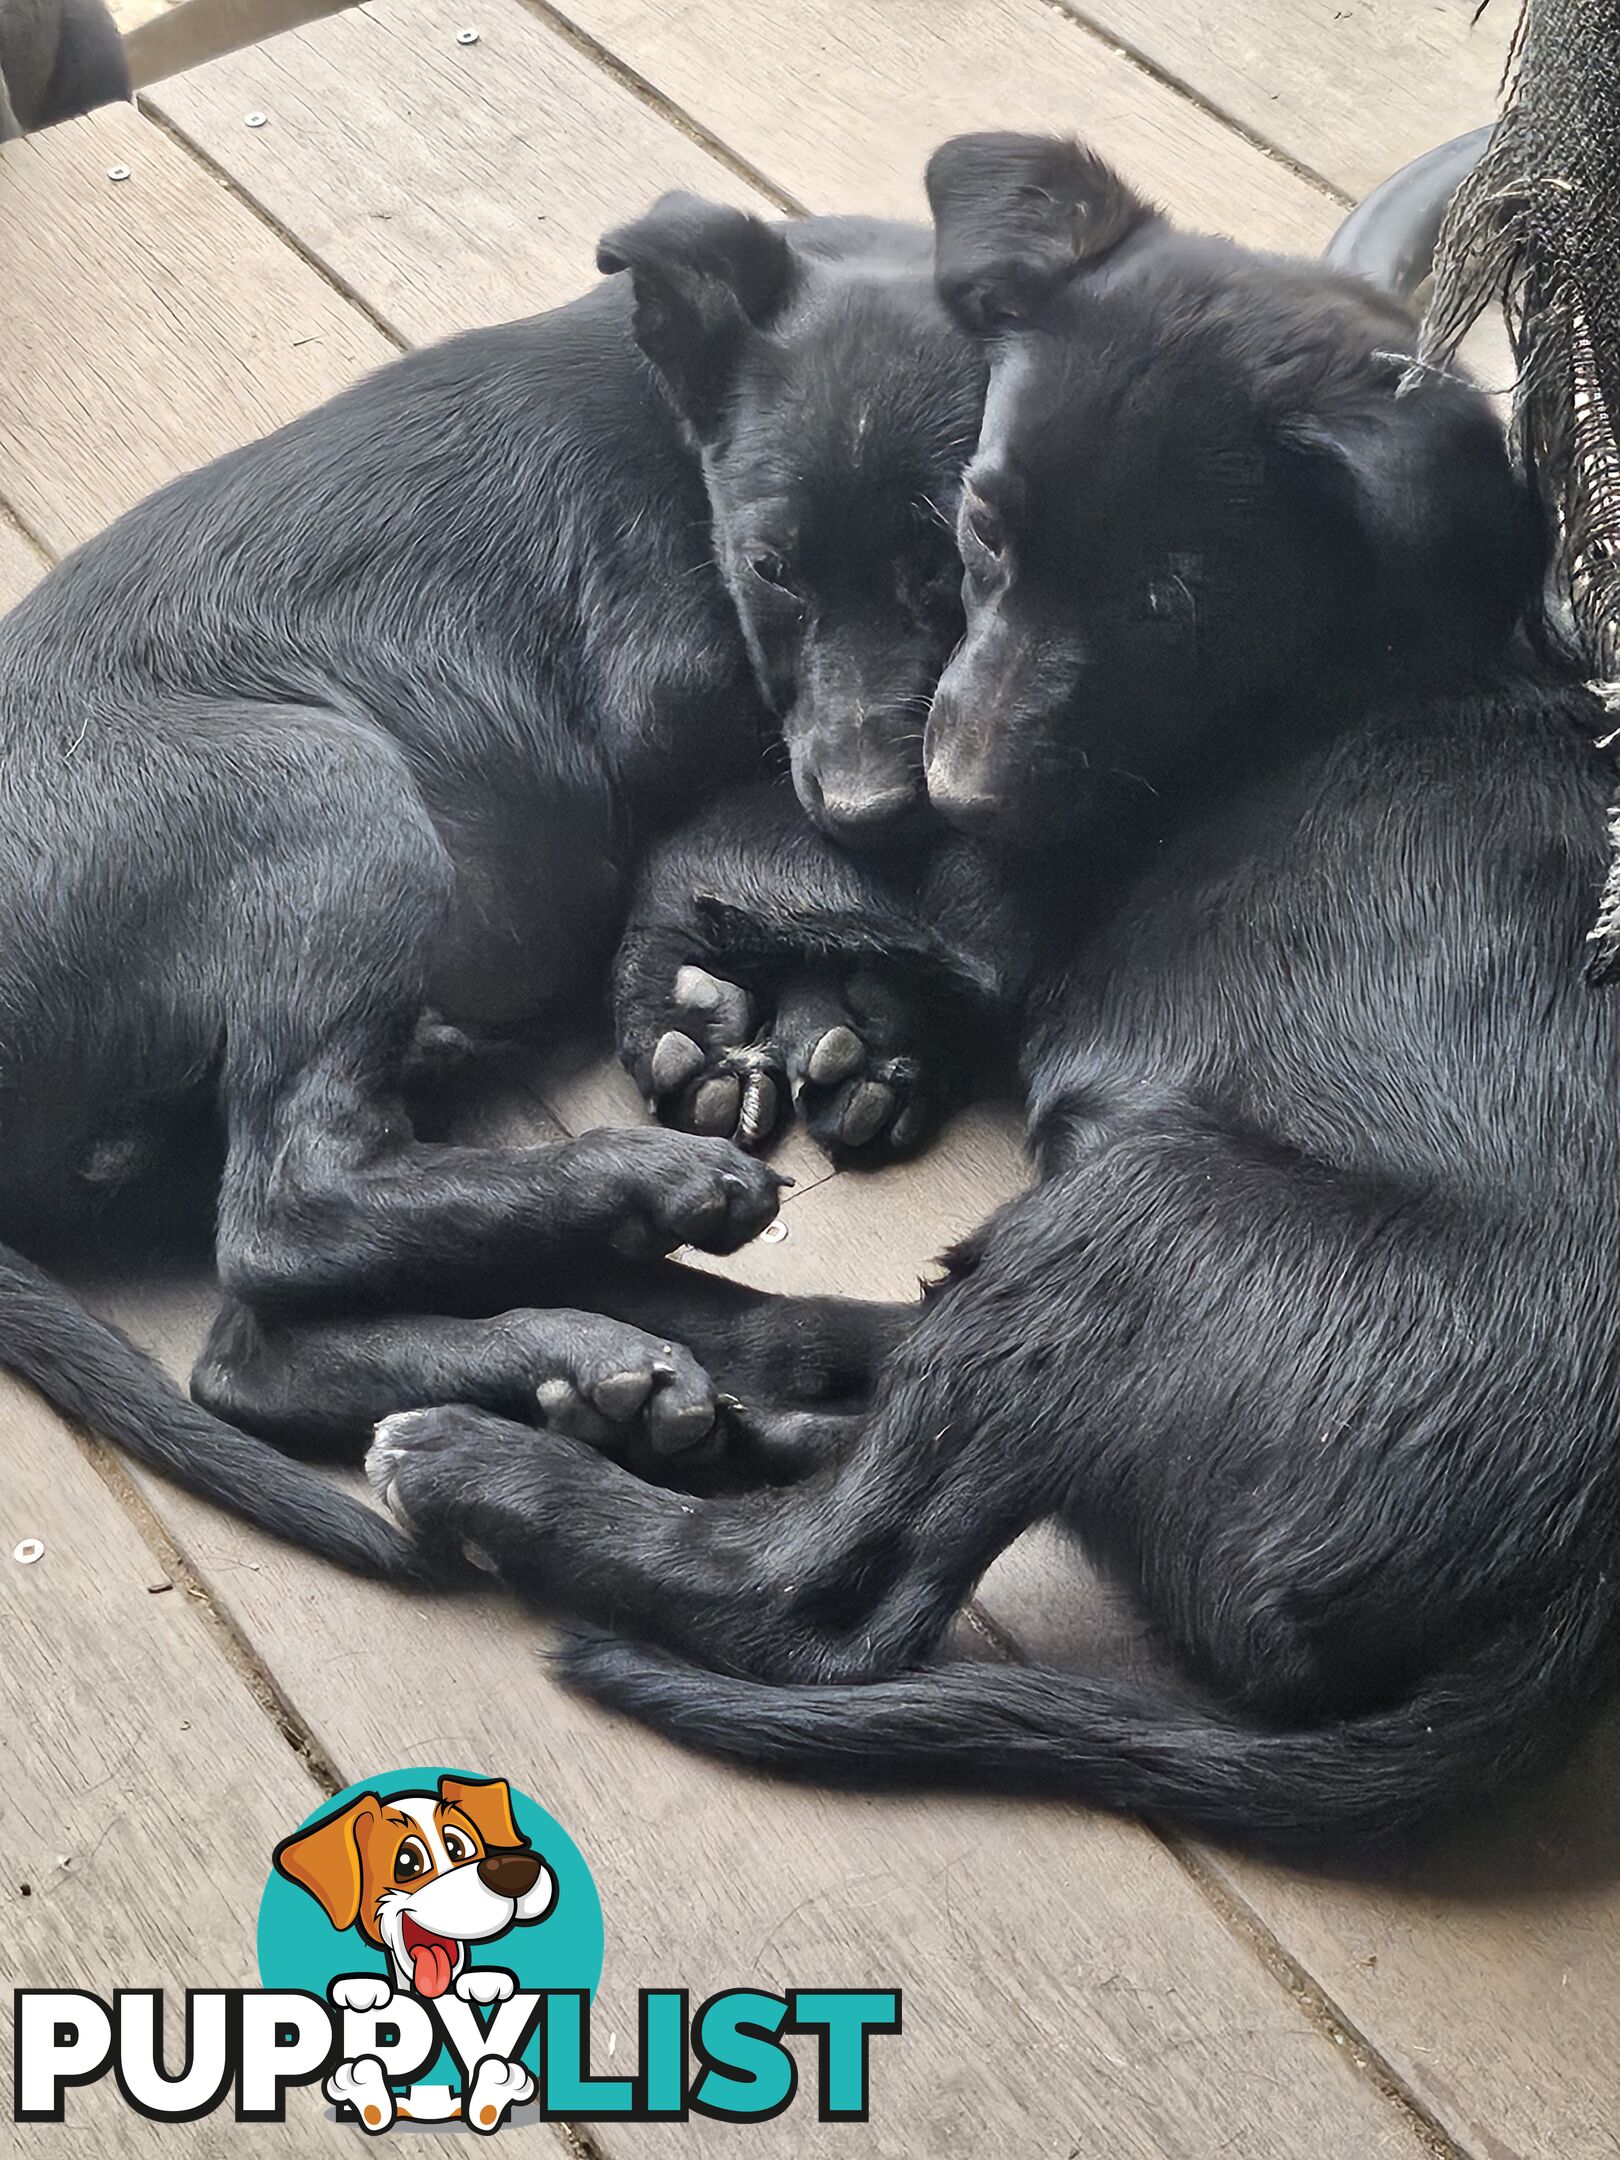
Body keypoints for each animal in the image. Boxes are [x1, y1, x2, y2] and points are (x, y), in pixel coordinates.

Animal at [0, 190, 984, 1572]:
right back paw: (641, 1197)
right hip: (332, 794)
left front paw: (849, 1034)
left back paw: (586, 1369)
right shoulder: (685, 710)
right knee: (291, 1207)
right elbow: (722, 845)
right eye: (772, 569)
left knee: (252, 1346)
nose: (866, 807)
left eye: (954, 564)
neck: (678, 438)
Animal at [365, 139, 1620, 1857]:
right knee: (863, 1371)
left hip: (1146, 1219)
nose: (933, 796)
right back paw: (660, 1361)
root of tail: (1565, 1616)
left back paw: (504, 1468)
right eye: (980, 523)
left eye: (1171, 602)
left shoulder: (980, 886)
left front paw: (678, 993)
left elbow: (708, 835)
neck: (1336, 650)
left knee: (823, 1592)